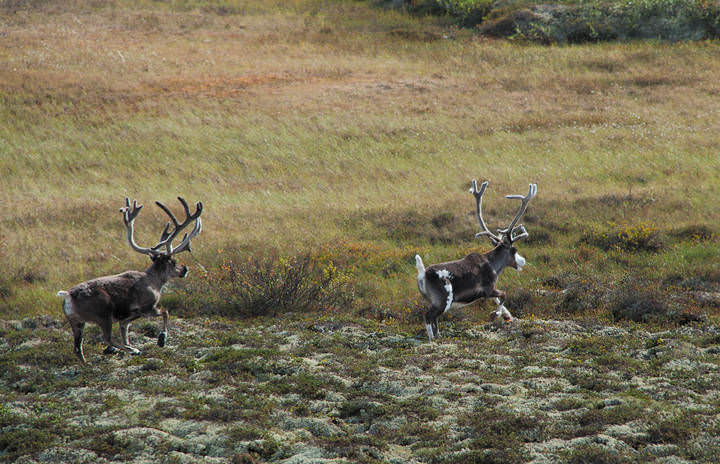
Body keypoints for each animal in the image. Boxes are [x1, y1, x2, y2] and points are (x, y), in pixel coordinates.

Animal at [56, 197, 203, 363]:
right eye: (173, 261)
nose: (185, 269)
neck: (155, 282)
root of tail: (68, 295)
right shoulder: (147, 307)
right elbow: (165, 312)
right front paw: (161, 339)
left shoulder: (128, 316)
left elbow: (124, 330)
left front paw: (131, 345)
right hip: (103, 315)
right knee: (106, 338)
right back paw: (134, 350)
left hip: (77, 322)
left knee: (77, 348)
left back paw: (90, 363)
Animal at [415, 180, 537, 341]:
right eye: (514, 250)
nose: (523, 261)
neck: (493, 265)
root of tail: (422, 274)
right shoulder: (487, 289)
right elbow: (503, 294)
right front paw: (496, 314)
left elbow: (500, 299)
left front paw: (507, 316)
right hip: (443, 300)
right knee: (428, 317)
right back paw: (433, 340)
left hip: (435, 301)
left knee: (433, 320)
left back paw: (438, 336)